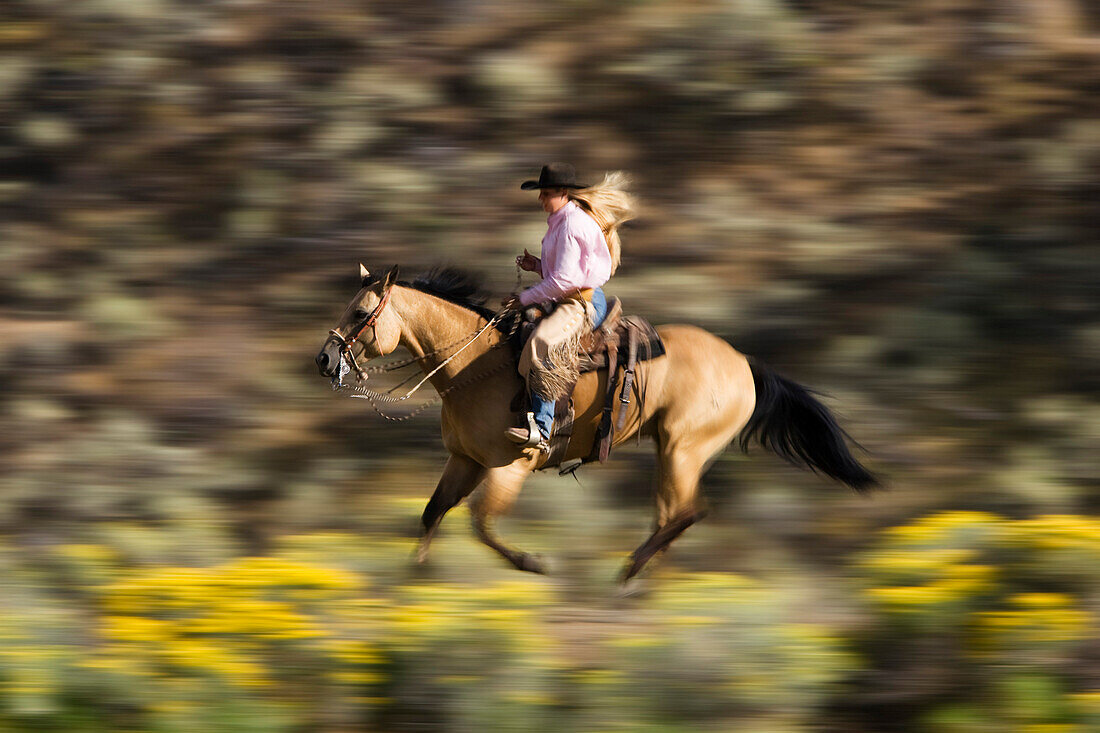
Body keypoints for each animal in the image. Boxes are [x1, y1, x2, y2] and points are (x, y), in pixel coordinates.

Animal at [319, 265, 875, 581]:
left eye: (362, 313)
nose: (325, 360)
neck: (474, 366)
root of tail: (743, 362)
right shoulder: (464, 460)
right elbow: (432, 514)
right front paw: (415, 579)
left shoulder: (510, 465)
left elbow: (481, 524)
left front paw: (533, 563)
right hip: (670, 452)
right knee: (671, 517)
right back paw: (645, 581)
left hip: (684, 449)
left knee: (688, 513)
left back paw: (628, 574)